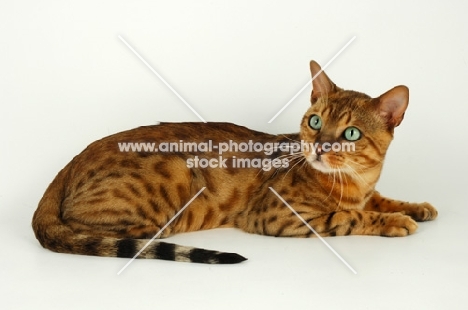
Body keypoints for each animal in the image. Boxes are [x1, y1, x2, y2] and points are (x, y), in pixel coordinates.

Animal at [33, 60, 438, 264]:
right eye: (315, 122)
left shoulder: (367, 190)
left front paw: (416, 207)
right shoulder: (278, 215)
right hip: (174, 173)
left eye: (351, 133)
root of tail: (70, 163)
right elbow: (351, 216)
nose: (319, 148)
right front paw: (395, 221)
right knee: (84, 229)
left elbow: (380, 199)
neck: (354, 182)